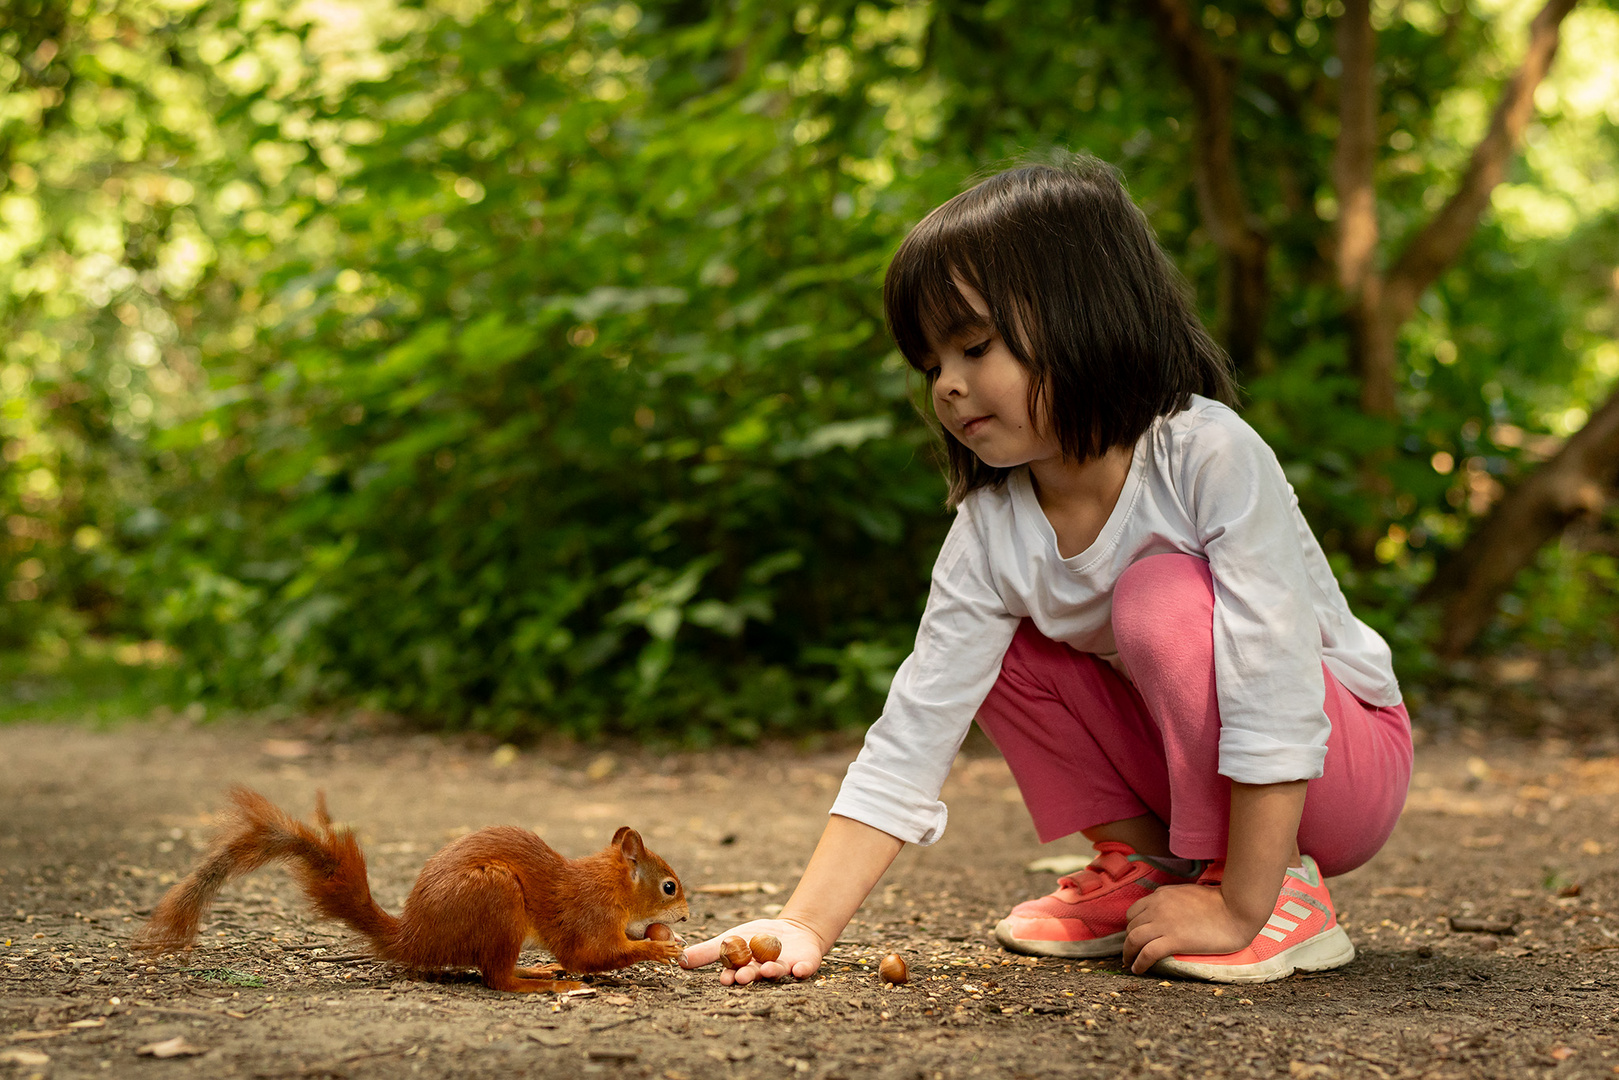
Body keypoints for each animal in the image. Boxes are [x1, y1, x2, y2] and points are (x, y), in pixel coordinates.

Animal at [134, 786, 689, 997]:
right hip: (496, 898)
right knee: (495, 978)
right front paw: (658, 948)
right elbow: (590, 954)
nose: (685, 914)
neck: (610, 883)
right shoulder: (589, 915)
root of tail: (416, 937)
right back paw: (538, 982)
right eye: (669, 887)